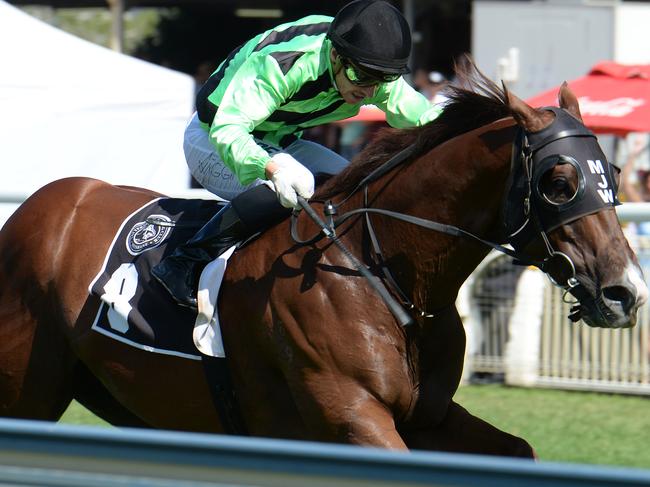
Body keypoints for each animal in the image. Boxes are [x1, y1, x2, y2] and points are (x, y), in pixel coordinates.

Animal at [0, 70, 644, 460]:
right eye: (559, 183)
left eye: (611, 174)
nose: (627, 293)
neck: (385, 275)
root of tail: (40, 206)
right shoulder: (352, 418)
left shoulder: (428, 417)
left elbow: (520, 451)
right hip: (29, 386)